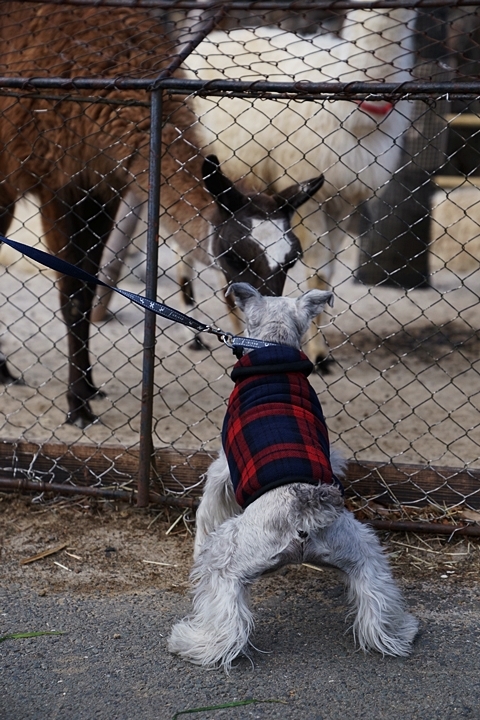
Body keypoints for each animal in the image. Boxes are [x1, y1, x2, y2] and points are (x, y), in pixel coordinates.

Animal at [169, 282, 416, 668]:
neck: (274, 350)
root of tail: (303, 510)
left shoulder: (222, 468)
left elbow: (207, 509)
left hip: (226, 559)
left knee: (227, 625)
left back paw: (192, 642)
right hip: (365, 555)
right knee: (377, 602)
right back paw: (399, 633)